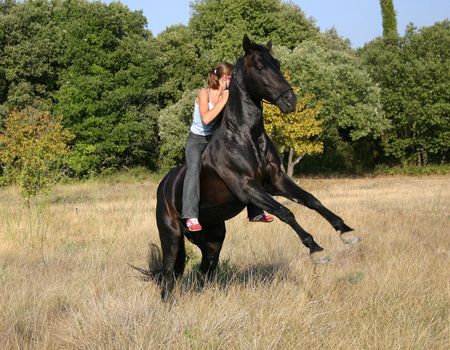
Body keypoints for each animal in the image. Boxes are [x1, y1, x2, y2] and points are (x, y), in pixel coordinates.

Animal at [146, 34, 360, 300]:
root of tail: (164, 186)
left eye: (277, 63)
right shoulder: (246, 186)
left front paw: (346, 231)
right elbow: (285, 212)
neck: (246, 137)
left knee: (204, 270)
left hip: (213, 237)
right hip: (172, 236)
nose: (290, 101)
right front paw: (316, 249)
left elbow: (311, 200)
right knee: (168, 277)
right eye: (259, 66)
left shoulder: (276, 180)